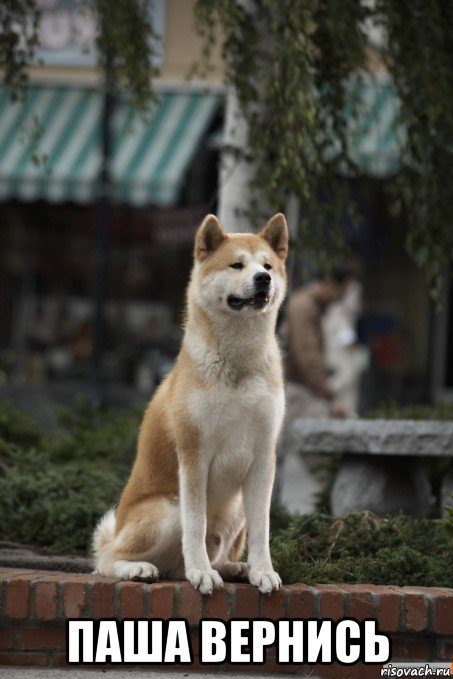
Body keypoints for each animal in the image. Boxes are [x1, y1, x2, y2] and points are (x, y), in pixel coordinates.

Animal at [93, 212, 288, 596]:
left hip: (236, 509)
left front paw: (263, 571)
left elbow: (263, 530)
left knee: (203, 558)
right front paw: (201, 573)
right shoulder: (194, 454)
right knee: (108, 560)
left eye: (268, 266)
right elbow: (195, 526)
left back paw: (235, 568)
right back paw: (142, 568)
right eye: (237, 264)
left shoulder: (263, 457)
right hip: (167, 508)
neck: (237, 364)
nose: (263, 279)